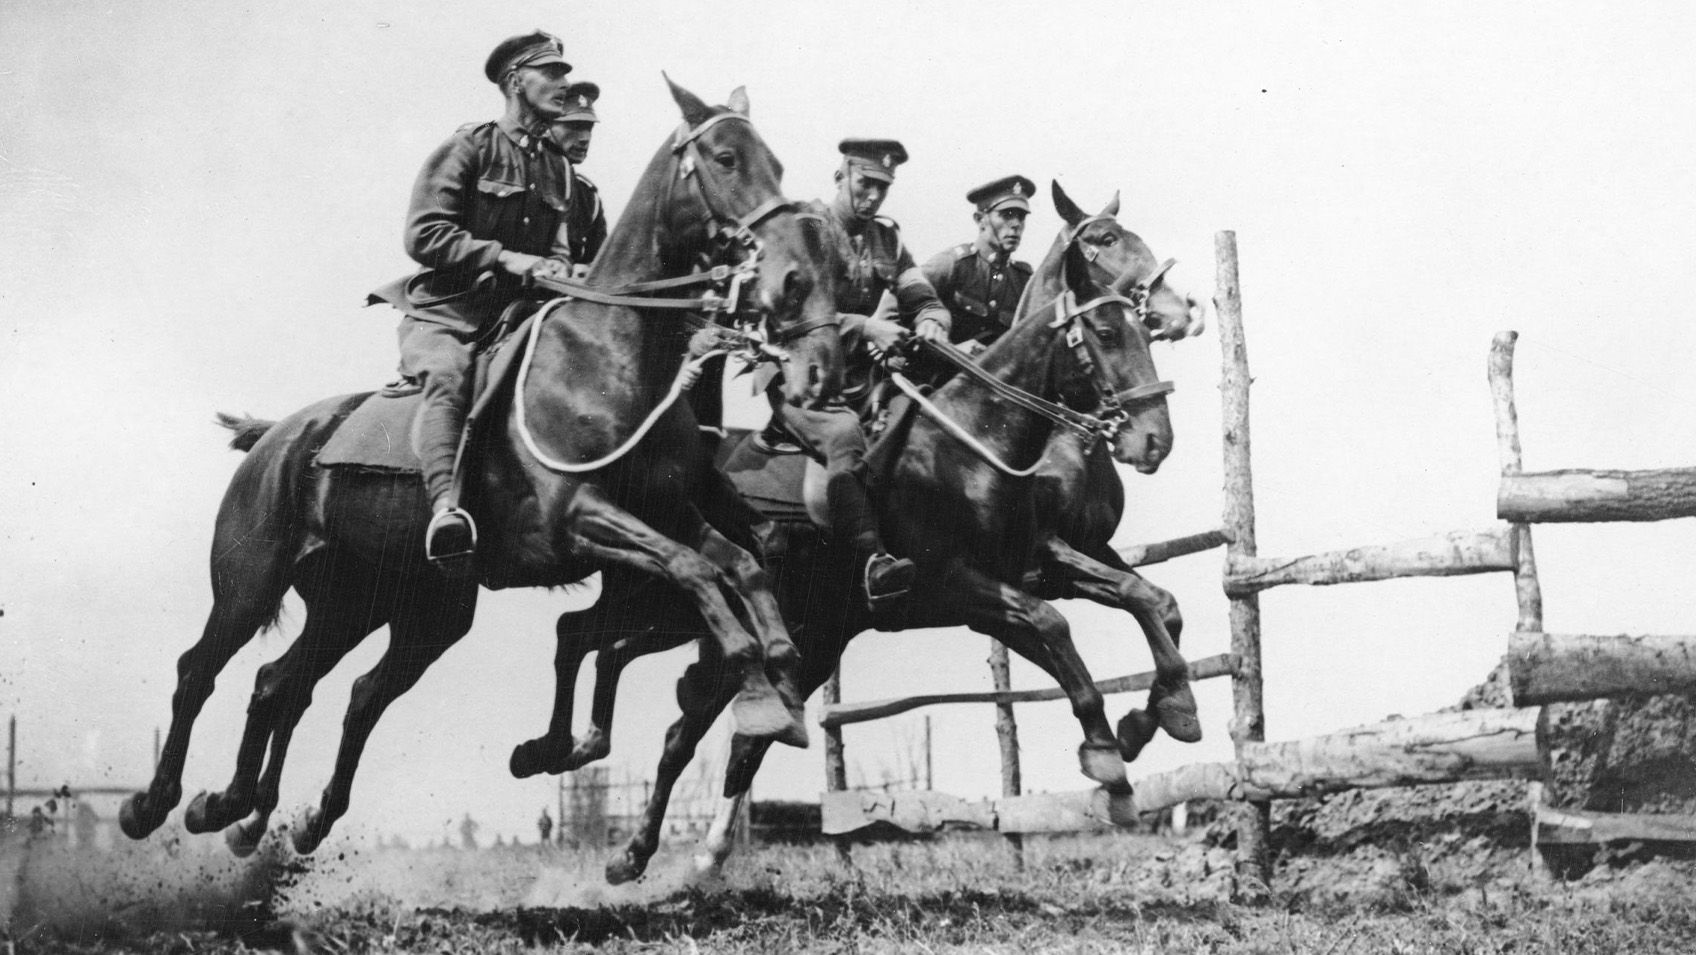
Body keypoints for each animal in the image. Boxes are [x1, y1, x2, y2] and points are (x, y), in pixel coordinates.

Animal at [116, 79, 845, 856]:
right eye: (726, 157)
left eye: (775, 161)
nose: (788, 275)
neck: (611, 357)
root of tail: (277, 437)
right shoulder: (577, 520)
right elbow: (695, 572)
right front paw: (750, 678)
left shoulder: (666, 514)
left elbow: (740, 565)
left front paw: (776, 676)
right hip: (250, 585)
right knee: (201, 671)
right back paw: (157, 803)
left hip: (387, 606)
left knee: (301, 686)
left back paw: (242, 809)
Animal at [511, 182, 1193, 883]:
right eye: (1106, 328)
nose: (1154, 439)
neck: (970, 444)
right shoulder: (962, 586)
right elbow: (1059, 628)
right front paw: (1111, 754)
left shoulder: (1031, 572)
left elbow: (1149, 602)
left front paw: (1159, 716)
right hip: (665, 603)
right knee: (595, 645)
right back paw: (584, 770)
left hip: (769, 632)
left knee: (687, 713)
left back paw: (643, 833)